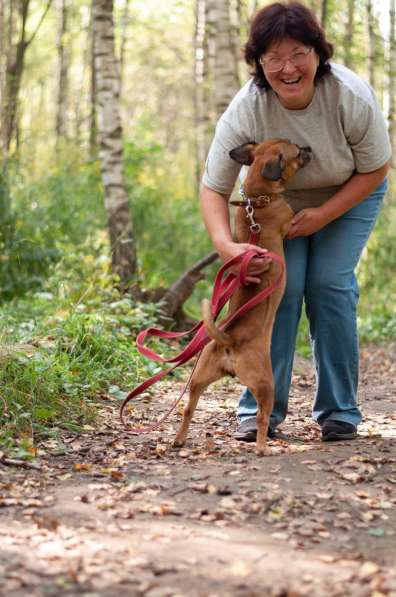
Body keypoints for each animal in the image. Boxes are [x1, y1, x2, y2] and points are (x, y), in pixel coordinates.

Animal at [174, 139, 312, 456]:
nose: (308, 147)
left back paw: (179, 440)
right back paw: (262, 447)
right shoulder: (289, 221)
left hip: (198, 377)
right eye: (296, 152)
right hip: (265, 384)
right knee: (262, 417)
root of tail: (230, 340)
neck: (257, 201)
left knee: (188, 408)